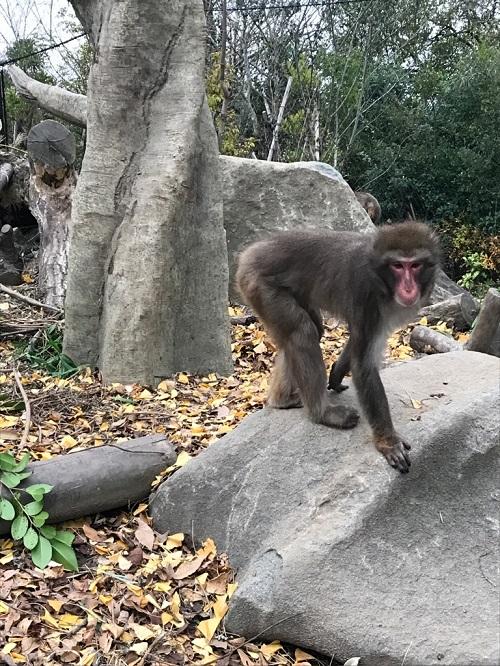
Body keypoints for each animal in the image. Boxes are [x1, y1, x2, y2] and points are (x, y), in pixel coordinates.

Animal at [237, 223, 438, 472]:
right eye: (398, 266)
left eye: (415, 265)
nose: (409, 288)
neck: (381, 279)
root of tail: (250, 253)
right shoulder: (366, 295)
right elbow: (363, 365)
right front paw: (387, 441)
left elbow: (356, 345)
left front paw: (337, 372)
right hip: (259, 285)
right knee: (303, 333)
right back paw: (322, 413)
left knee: (309, 330)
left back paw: (281, 400)